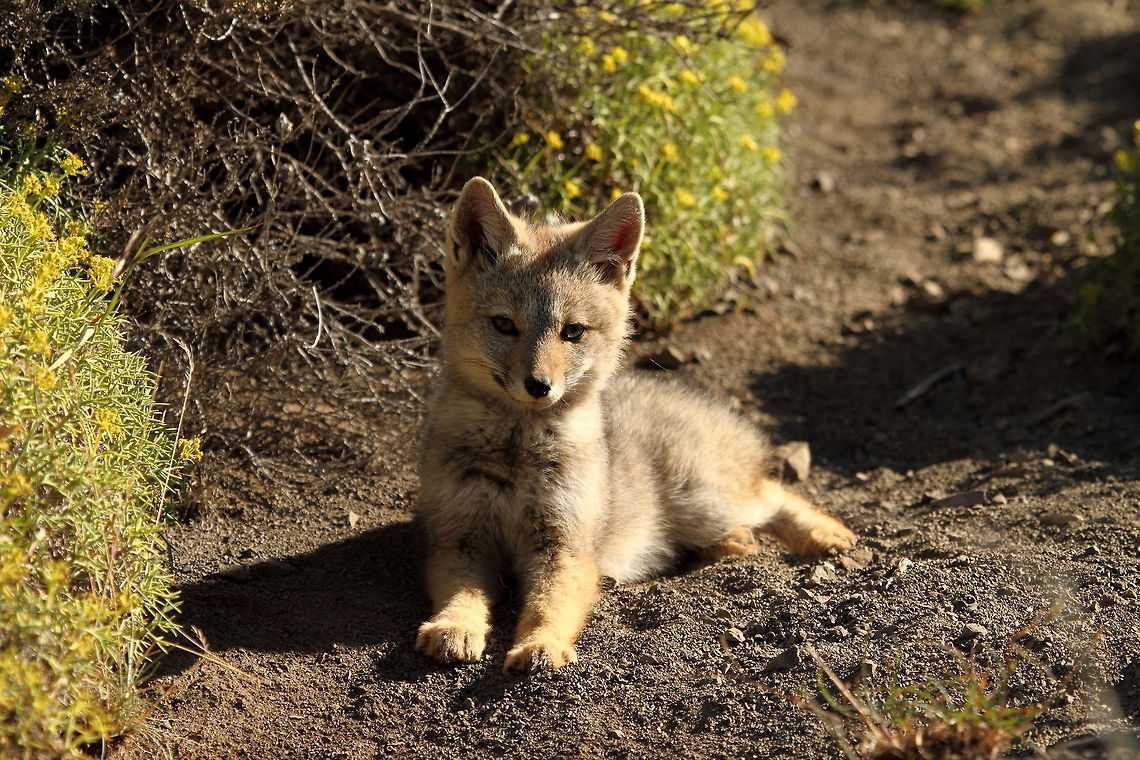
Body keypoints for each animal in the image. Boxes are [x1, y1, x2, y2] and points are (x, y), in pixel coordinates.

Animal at [415, 177, 856, 673]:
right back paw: (732, 544)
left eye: (573, 332)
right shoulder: (457, 540)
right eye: (504, 325)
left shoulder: (567, 549)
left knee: (775, 494)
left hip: (706, 501)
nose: (539, 386)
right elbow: (461, 595)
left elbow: (549, 606)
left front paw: (542, 644)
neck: (517, 455)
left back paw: (823, 534)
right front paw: (454, 627)